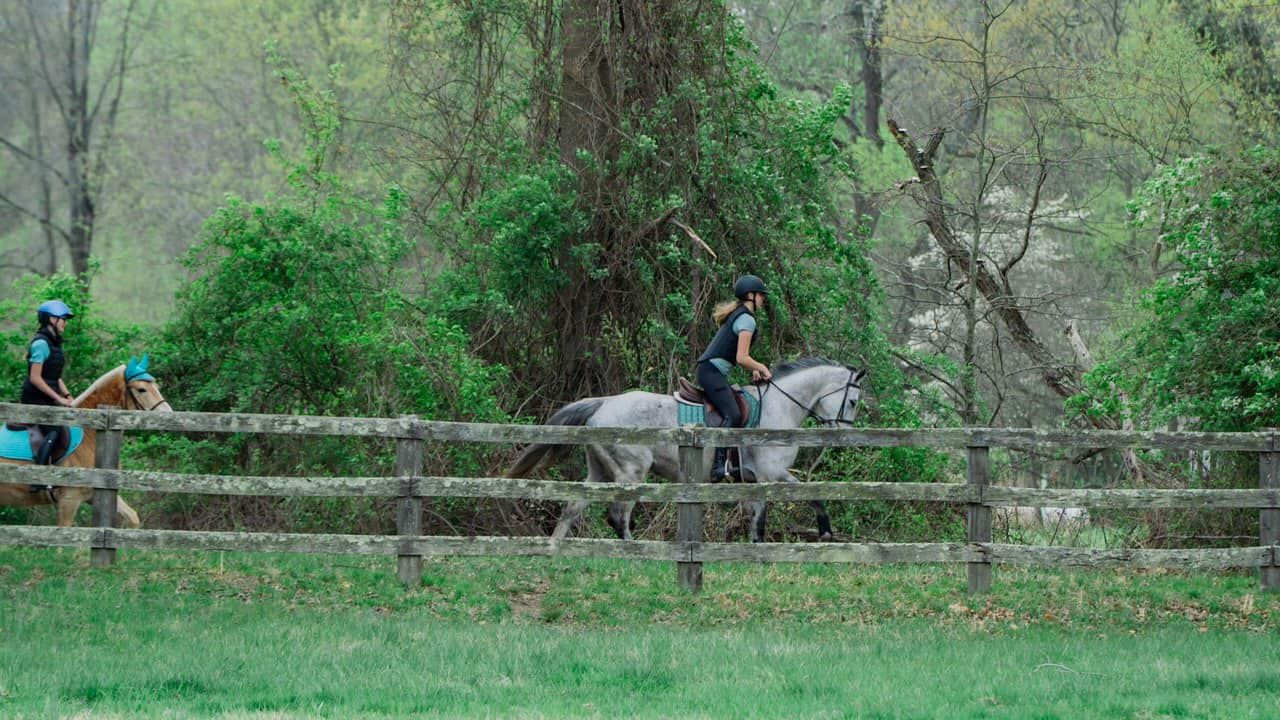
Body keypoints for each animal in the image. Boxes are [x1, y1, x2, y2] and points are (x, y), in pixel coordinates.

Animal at [0, 356, 172, 527]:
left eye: (156, 386)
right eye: (142, 389)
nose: (168, 414)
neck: (91, 432)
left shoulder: (98, 492)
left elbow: (133, 517)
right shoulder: (69, 500)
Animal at [508, 357, 865, 543]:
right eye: (852, 401)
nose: (844, 435)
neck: (779, 406)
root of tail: (604, 403)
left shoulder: (753, 479)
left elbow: (760, 516)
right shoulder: (770, 474)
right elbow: (792, 503)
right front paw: (824, 533)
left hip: (599, 470)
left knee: (573, 507)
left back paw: (555, 547)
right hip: (631, 472)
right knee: (618, 515)